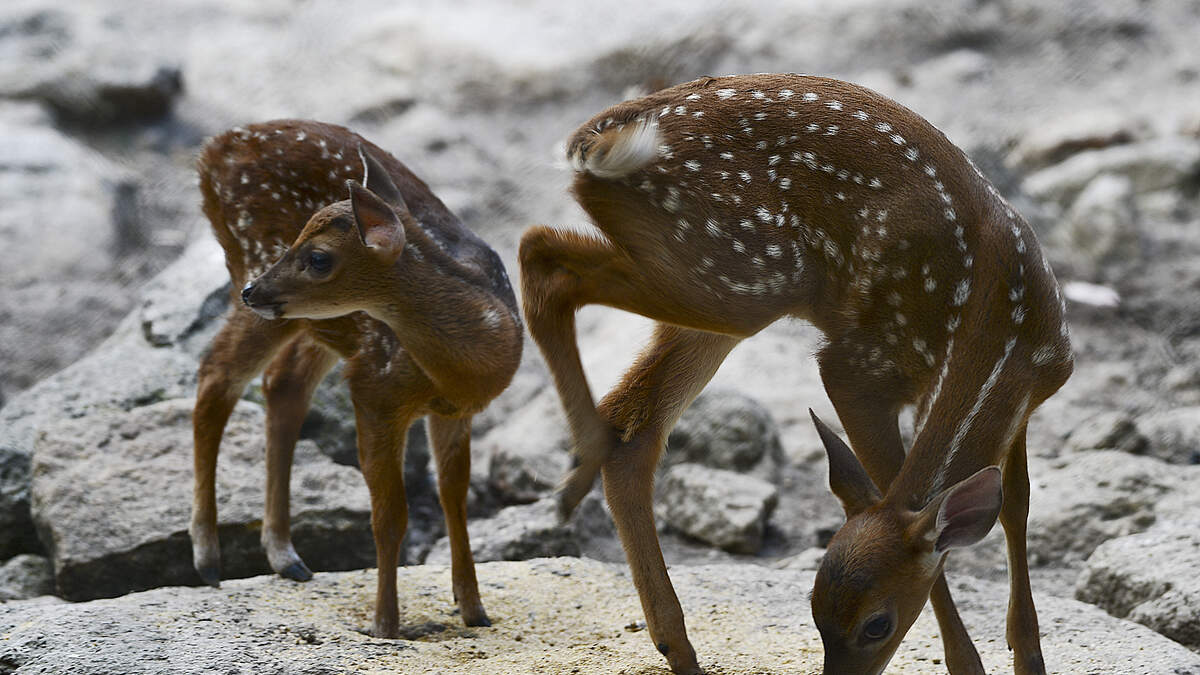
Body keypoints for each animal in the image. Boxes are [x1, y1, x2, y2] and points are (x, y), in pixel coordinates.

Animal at [191, 119, 522, 638]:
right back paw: (208, 559)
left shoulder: (456, 411)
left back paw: (286, 557)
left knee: (281, 385)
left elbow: (454, 498)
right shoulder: (374, 389)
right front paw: (385, 624)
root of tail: (213, 150)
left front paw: (473, 609)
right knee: (216, 375)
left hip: (322, 324)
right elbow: (390, 515)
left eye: (319, 257)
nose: (252, 290)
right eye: (299, 239)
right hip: (261, 272)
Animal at [520, 74, 1073, 674]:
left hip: (718, 280)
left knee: (633, 425)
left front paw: (1030, 657)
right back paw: (574, 480)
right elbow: (899, 497)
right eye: (814, 615)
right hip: (740, 276)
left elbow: (1014, 504)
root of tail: (596, 139)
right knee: (541, 255)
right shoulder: (856, 368)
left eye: (877, 624)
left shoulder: (1035, 389)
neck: (996, 336)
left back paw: (676, 642)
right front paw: (968, 664)